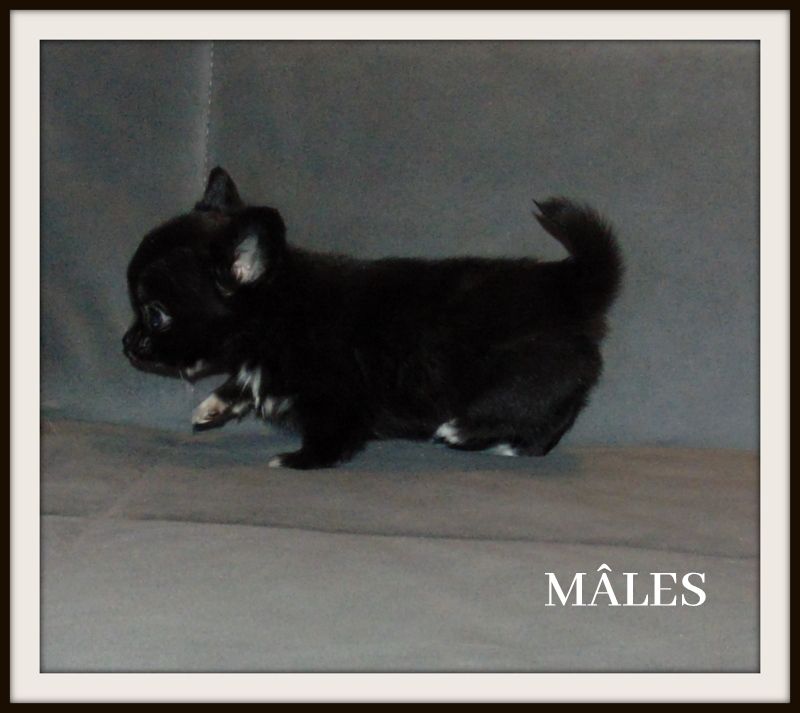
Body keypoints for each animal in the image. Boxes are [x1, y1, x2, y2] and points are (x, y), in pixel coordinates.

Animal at [123, 168, 622, 469]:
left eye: (156, 314)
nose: (126, 344)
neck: (279, 311)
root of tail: (568, 283)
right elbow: (243, 384)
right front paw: (215, 404)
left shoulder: (335, 398)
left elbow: (330, 437)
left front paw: (298, 460)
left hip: (522, 377)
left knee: (542, 414)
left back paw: (470, 433)